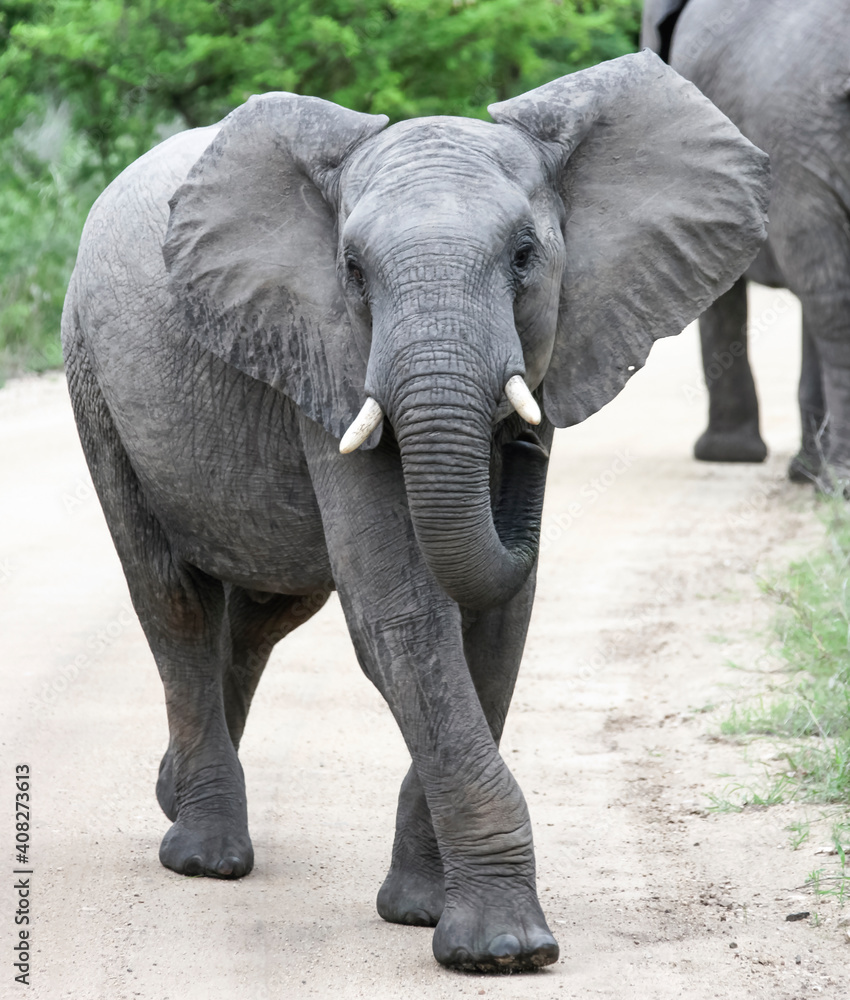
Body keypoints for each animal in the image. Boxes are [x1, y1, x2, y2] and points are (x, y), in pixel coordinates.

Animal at [61, 50, 767, 973]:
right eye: (353, 274)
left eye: (525, 257)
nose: (526, 450)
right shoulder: (321, 352)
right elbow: (404, 616)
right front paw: (503, 949)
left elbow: (497, 622)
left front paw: (423, 911)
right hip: (91, 370)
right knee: (170, 598)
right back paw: (206, 854)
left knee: (265, 612)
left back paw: (171, 791)